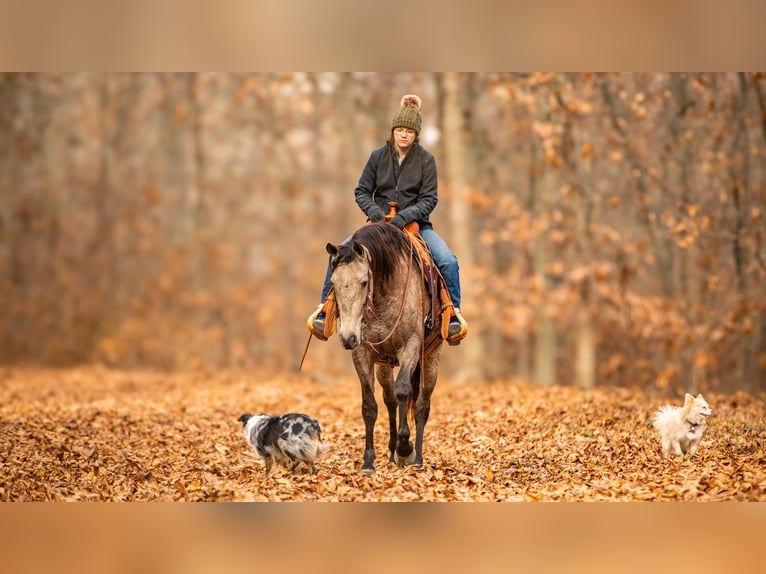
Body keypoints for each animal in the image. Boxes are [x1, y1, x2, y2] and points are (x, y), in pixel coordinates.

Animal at [326, 223, 448, 480]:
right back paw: (392, 455)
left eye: (364, 282)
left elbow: (404, 390)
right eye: (333, 282)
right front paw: (368, 462)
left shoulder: (411, 346)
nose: (348, 337)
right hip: (384, 363)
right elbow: (370, 406)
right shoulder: (362, 353)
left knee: (421, 404)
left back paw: (416, 458)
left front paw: (406, 449)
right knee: (390, 400)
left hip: (431, 358)